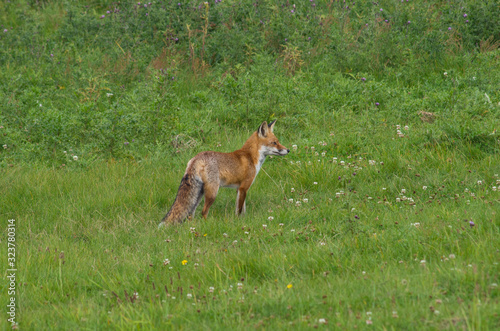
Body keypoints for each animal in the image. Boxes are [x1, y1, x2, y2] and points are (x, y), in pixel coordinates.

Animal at [160, 121, 290, 228]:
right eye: (274, 143)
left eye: (278, 142)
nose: (288, 150)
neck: (251, 157)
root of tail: (196, 158)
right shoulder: (244, 188)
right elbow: (239, 210)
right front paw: (239, 223)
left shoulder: (239, 189)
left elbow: (242, 209)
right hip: (212, 193)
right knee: (203, 212)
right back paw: (206, 226)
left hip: (199, 193)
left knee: (191, 213)